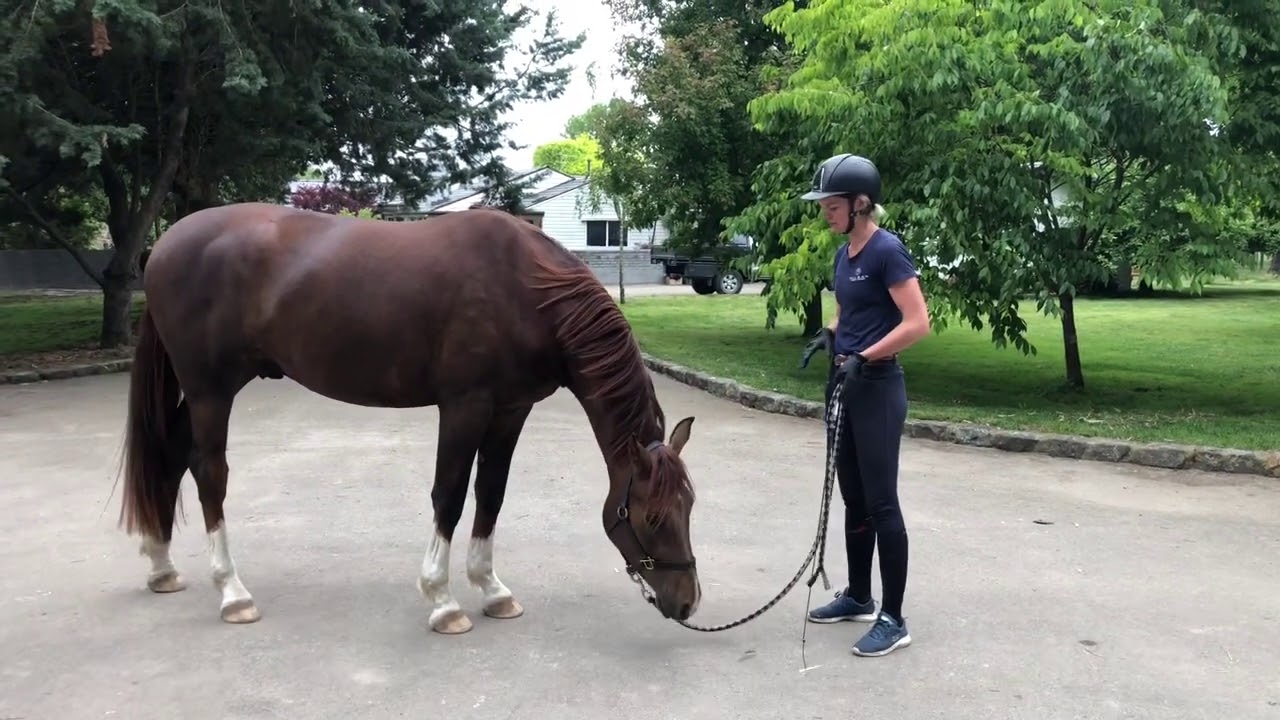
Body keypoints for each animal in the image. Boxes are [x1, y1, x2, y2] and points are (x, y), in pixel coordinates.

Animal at [115, 202, 701, 635]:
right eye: (652, 518)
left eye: (690, 506)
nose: (687, 603)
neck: (526, 288)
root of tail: (165, 245)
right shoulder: (465, 406)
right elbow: (450, 494)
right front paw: (443, 600)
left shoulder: (511, 410)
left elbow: (491, 493)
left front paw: (492, 590)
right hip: (211, 391)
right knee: (208, 473)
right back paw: (233, 593)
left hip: (210, 390)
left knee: (170, 455)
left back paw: (162, 566)